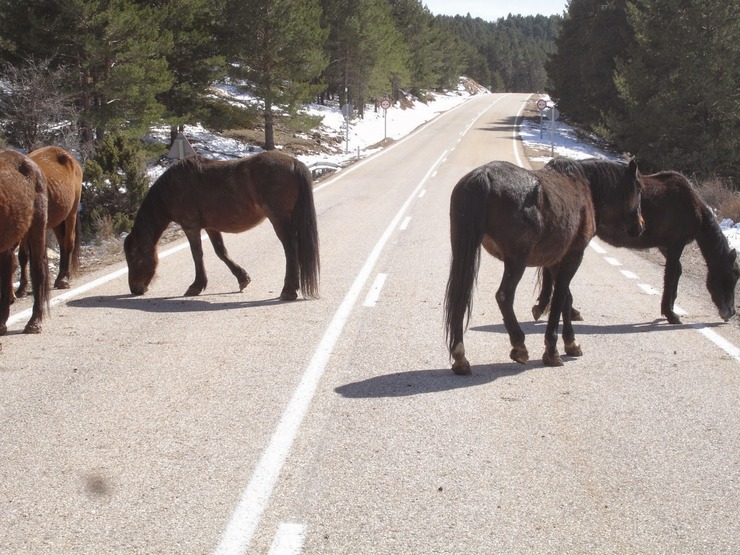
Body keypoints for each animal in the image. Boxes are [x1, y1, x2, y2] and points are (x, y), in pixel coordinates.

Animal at [14, 147, 82, 296]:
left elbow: (23, 256)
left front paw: (22, 288)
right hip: (58, 220)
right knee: (62, 245)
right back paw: (60, 277)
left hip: (71, 213)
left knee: (69, 243)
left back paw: (64, 279)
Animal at [123, 151, 318, 300]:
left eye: (133, 257)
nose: (135, 289)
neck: (172, 188)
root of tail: (294, 162)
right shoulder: (211, 227)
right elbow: (221, 252)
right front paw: (242, 278)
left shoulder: (190, 226)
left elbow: (197, 254)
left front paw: (196, 286)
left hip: (279, 218)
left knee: (290, 248)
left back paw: (288, 290)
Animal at [442, 159, 644, 376]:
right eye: (640, 189)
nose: (640, 226)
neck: (585, 186)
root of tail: (483, 176)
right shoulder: (573, 256)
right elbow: (559, 299)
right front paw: (552, 350)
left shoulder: (556, 261)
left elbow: (566, 298)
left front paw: (571, 343)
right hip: (516, 261)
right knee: (504, 296)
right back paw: (519, 345)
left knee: (460, 295)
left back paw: (460, 357)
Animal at [536, 172, 736, 324]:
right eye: (732, 277)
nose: (731, 312)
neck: (691, 205)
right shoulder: (675, 246)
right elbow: (671, 275)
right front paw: (670, 314)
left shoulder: (665, 247)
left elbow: (676, 272)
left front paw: (671, 307)